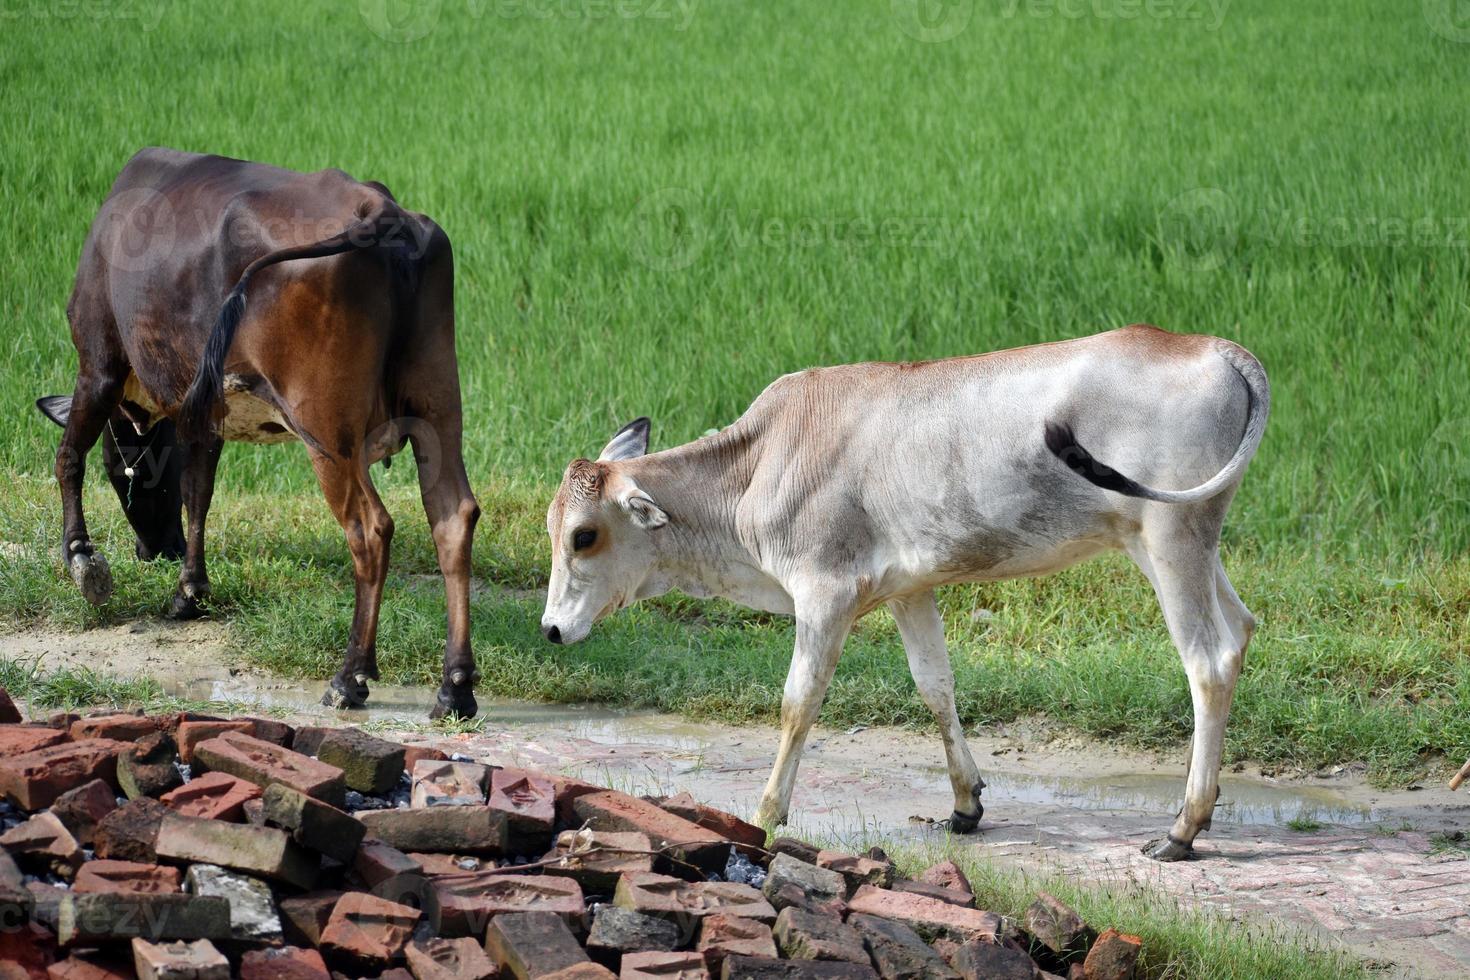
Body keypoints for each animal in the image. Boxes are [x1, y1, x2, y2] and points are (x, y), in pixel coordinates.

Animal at [37, 149, 482, 719]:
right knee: (453, 518)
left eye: (129, 474)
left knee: (371, 529)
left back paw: (350, 676)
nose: (155, 548)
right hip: (437, 412)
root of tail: (380, 208)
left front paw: (82, 560)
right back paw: (455, 687)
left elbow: (70, 455)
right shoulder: (205, 411)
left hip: (328, 435)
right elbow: (198, 491)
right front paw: (190, 591)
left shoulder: (98, 361)